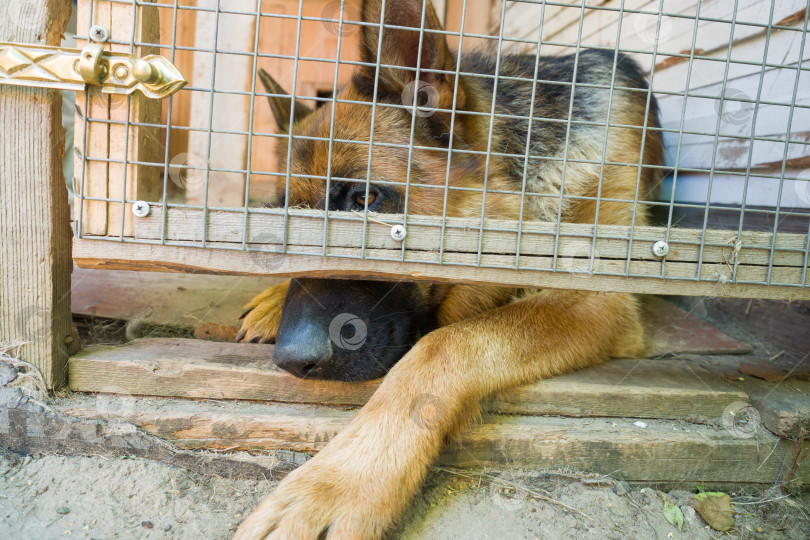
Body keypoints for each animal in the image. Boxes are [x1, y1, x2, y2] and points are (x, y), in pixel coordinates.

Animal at [235, 1, 664, 536]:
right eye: (285, 217)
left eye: (365, 201)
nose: (293, 360)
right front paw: (271, 298)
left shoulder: (601, 301)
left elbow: (443, 345)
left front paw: (341, 481)